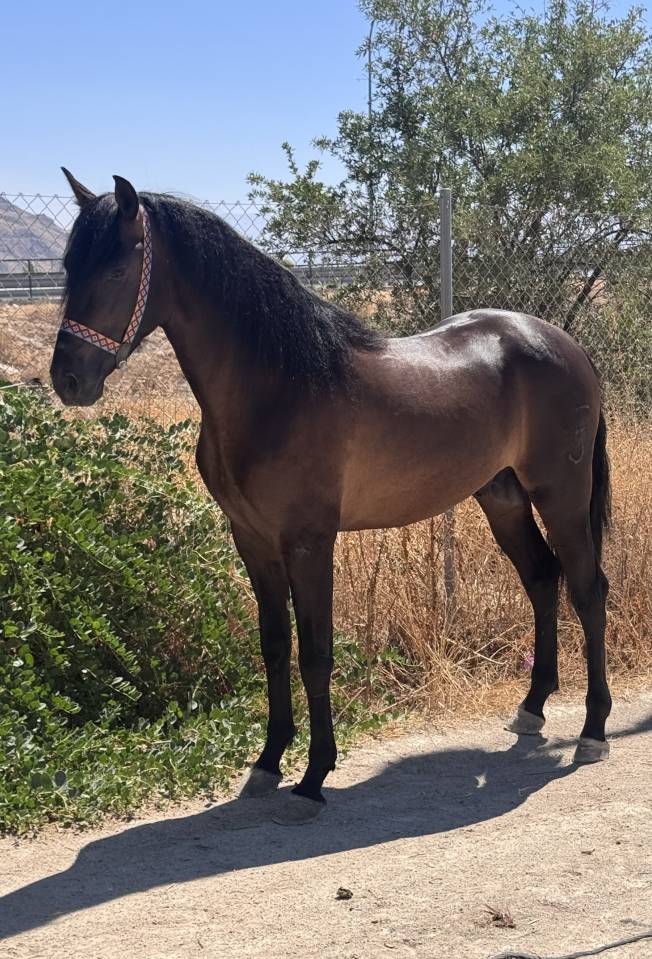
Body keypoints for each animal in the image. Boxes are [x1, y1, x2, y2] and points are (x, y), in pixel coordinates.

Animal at [50, 169, 612, 823]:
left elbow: (316, 653)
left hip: (561, 495)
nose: (68, 380)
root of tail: (566, 345)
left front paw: (313, 777)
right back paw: (531, 709)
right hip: (502, 498)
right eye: (69, 267)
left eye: (117, 270)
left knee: (587, 590)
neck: (276, 388)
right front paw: (268, 763)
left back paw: (593, 731)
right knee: (543, 579)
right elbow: (274, 645)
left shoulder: (309, 541)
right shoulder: (252, 538)